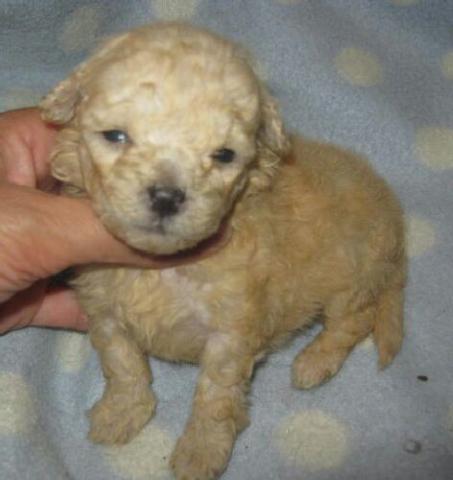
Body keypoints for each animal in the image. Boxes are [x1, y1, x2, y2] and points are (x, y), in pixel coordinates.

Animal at [40, 23, 406, 480]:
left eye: (224, 155)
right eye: (116, 136)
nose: (166, 197)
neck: (162, 267)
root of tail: (397, 225)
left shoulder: (232, 331)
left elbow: (215, 396)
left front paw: (201, 450)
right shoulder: (104, 311)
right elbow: (123, 364)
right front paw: (123, 412)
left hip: (354, 274)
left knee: (354, 321)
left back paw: (313, 363)